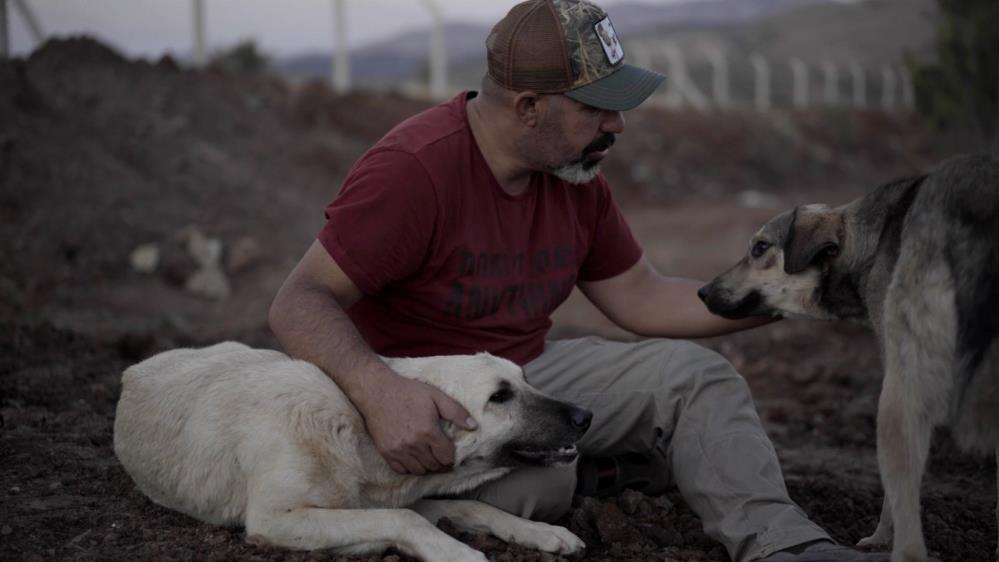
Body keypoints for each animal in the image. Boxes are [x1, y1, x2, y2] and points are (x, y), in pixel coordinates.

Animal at [115, 340, 592, 556]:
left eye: (525, 378)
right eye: (500, 396)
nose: (585, 416)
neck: (356, 434)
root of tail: (131, 370)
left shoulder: (392, 497)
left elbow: (475, 506)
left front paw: (541, 532)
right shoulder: (277, 519)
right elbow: (404, 519)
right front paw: (459, 553)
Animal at [700, 153, 996, 560]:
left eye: (759, 248)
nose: (701, 292)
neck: (867, 245)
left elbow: (893, 499)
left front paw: (878, 539)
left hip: (897, 397)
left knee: (909, 533)